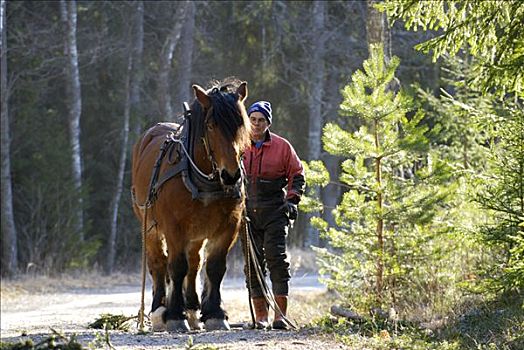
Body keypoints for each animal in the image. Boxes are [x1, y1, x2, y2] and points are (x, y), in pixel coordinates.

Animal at [133, 78, 252, 330]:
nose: (231, 176)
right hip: (149, 226)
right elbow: (177, 267)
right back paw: (159, 310)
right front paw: (174, 316)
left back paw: (192, 308)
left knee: (195, 262)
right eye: (211, 125)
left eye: (242, 123)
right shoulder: (174, 228)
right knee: (159, 263)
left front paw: (214, 313)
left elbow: (214, 267)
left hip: (196, 233)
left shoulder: (229, 226)